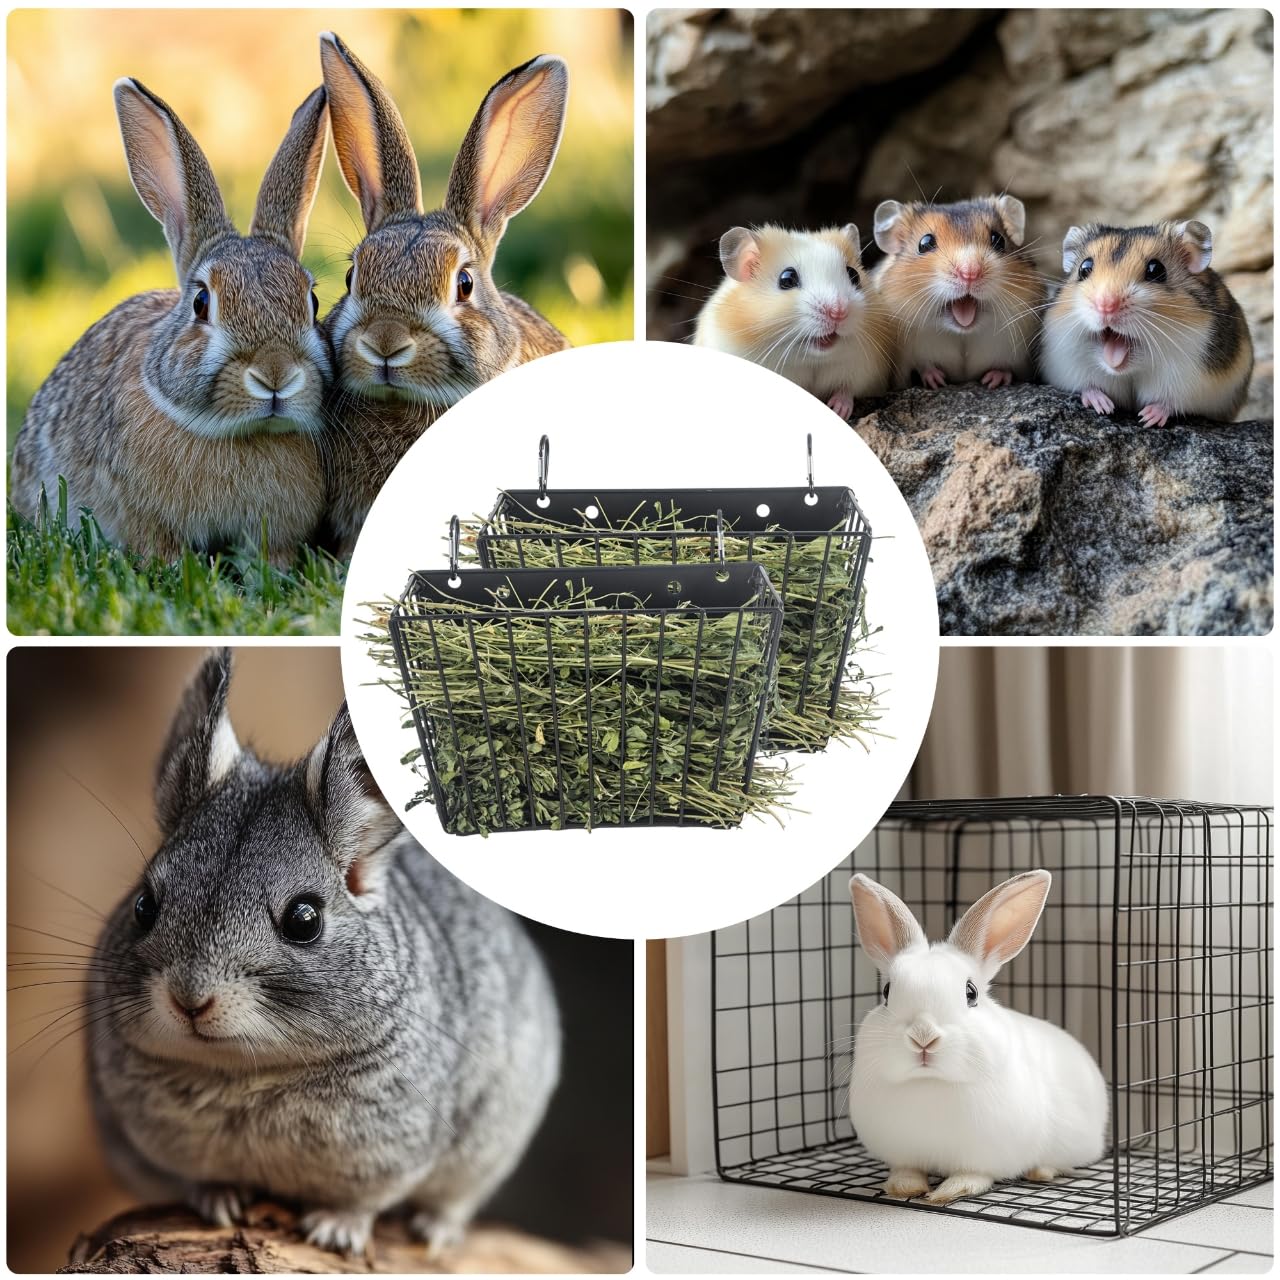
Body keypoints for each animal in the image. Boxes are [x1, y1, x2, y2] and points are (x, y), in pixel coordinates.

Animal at [88, 649, 560, 1256]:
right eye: (145, 905)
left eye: (303, 919)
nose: (190, 999)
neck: (245, 1074)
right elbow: (196, 1179)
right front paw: (219, 1200)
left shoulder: (396, 1151)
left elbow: (361, 1201)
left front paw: (335, 1232)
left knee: (455, 1201)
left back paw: (436, 1233)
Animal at [847, 870, 1107, 1205]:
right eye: (886, 992)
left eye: (971, 993)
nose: (923, 1036)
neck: (929, 1083)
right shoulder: (903, 1154)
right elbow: (907, 1170)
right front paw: (904, 1187)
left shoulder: (984, 1157)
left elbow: (973, 1175)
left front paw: (949, 1192)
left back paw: (1041, 1171)